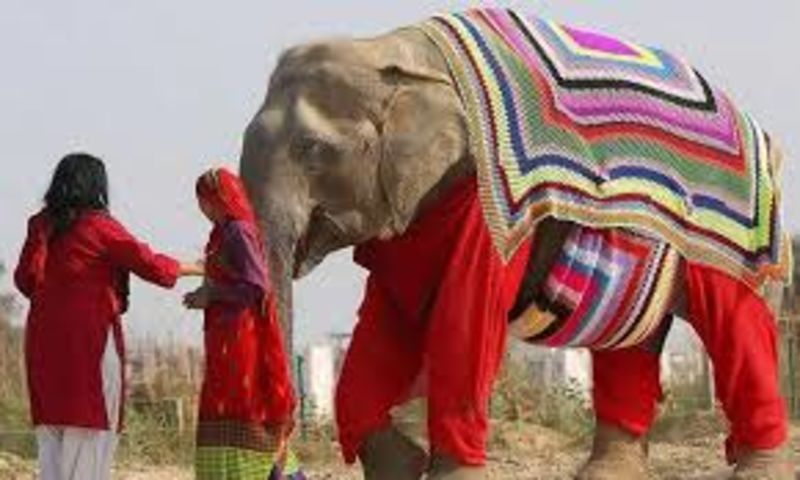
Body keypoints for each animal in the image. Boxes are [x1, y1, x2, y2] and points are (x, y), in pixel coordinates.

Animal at [239, 8, 794, 480]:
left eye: (313, 150)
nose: (284, 468)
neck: (387, 49)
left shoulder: (485, 199)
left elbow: (465, 311)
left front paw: (445, 474)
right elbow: (383, 318)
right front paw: (405, 466)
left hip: (736, 228)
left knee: (736, 321)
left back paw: (759, 471)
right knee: (633, 343)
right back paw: (606, 476)